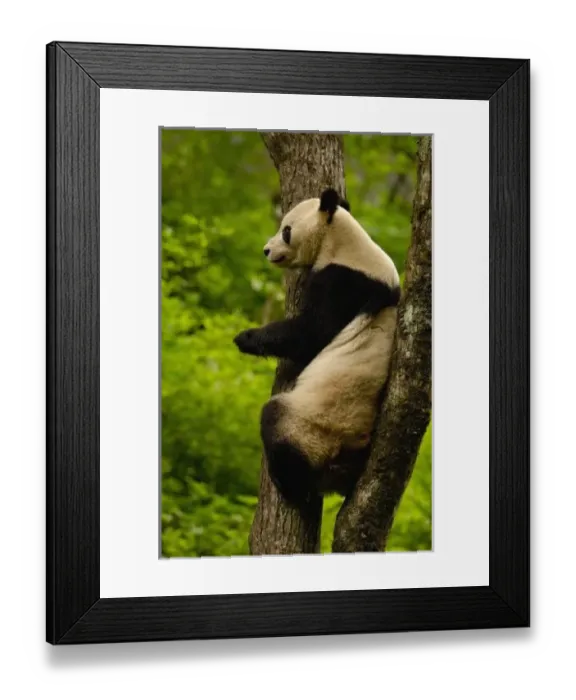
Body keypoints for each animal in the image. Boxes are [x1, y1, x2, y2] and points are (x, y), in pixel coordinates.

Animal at [234, 188, 401, 506]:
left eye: (286, 230)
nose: (266, 250)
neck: (342, 241)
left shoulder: (342, 282)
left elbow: (311, 332)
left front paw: (245, 338)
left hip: (315, 424)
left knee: (276, 419)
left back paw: (292, 485)